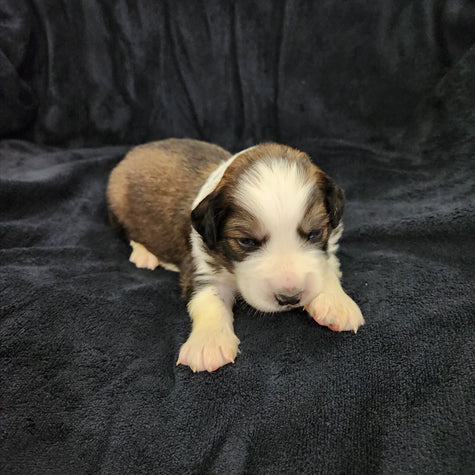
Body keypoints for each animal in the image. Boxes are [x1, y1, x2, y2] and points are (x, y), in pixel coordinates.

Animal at [107, 138, 364, 372]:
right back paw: (145, 255)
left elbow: (327, 266)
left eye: (314, 233)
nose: (289, 298)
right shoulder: (201, 267)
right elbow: (209, 300)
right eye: (247, 242)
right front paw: (208, 344)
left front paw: (337, 304)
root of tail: (137, 149)